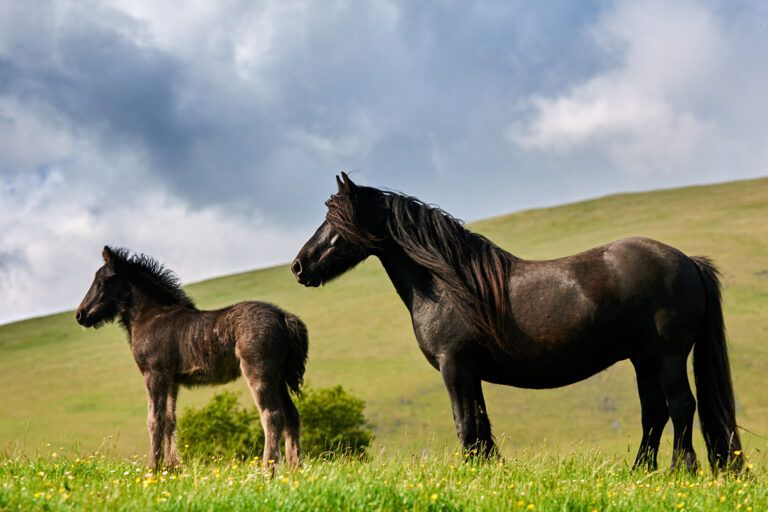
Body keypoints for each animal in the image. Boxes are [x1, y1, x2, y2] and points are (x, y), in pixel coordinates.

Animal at [76, 246, 308, 470]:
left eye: (102, 281)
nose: (80, 314)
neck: (150, 316)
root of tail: (282, 316)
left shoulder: (154, 374)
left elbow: (154, 420)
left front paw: (152, 469)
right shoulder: (172, 380)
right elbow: (170, 419)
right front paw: (172, 467)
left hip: (259, 373)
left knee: (272, 416)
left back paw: (267, 471)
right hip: (278, 378)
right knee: (291, 416)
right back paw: (294, 470)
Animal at [291, 172, 743, 473]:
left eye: (334, 220)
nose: (299, 266)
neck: (447, 284)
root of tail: (687, 261)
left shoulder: (454, 366)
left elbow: (465, 422)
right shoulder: (469, 370)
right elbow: (481, 422)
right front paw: (489, 470)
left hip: (667, 356)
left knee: (681, 407)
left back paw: (682, 471)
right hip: (642, 359)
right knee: (655, 412)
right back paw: (640, 473)